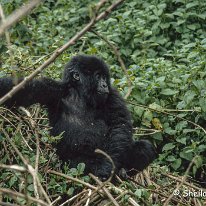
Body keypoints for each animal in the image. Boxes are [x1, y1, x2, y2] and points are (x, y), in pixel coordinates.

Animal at [0, 54, 156, 179]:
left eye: (104, 77)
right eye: (98, 76)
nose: (105, 85)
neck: (81, 95)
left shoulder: (113, 95)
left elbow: (119, 126)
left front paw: (108, 167)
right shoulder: (53, 89)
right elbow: (24, 91)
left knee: (144, 147)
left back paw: (122, 172)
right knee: (79, 164)